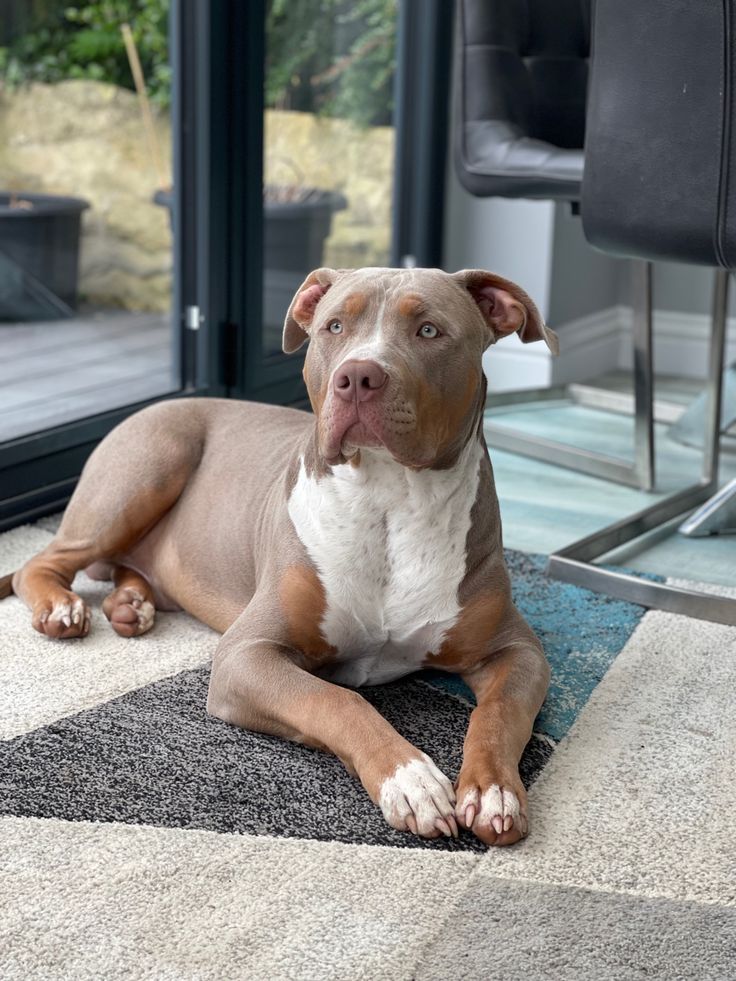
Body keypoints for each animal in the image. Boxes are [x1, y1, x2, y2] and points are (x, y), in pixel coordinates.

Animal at [0, 266, 556, 844]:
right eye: (335, 326)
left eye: (429, 330)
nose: (358, 376)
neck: (389, 501)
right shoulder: (246, 655)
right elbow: (337, 699)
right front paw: (411, 780)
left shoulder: (517, 652)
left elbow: (498, 714)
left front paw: (493, 791)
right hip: (146, 470)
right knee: (40, 563)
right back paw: (61, 608)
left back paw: (131, 605)